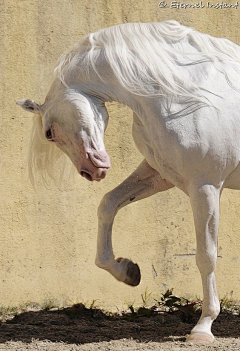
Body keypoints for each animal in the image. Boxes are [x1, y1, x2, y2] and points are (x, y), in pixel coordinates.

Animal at [17, 21, 240, 344]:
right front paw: (127, 271)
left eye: (48, 132)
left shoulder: (205, 186)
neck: (181, 94)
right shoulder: (161, 175)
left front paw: (203, 327)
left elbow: (206, 255)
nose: (91, 170)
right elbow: (108, 204)